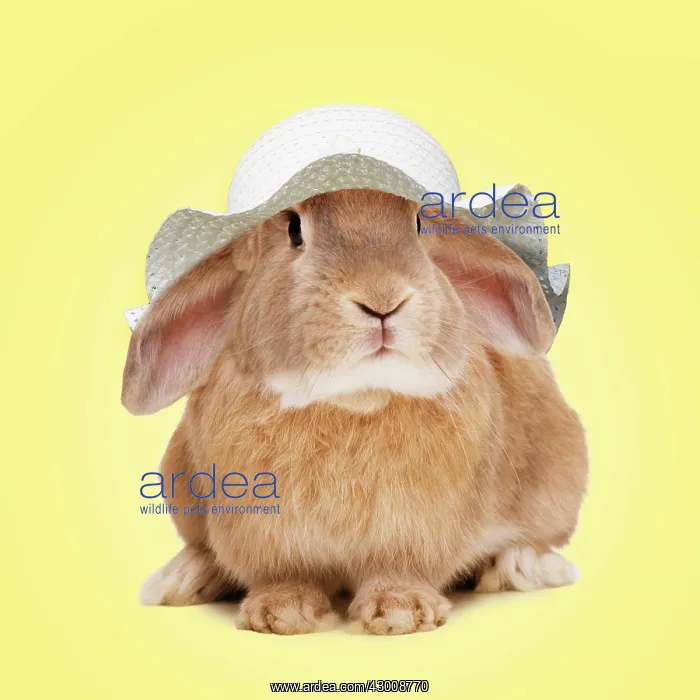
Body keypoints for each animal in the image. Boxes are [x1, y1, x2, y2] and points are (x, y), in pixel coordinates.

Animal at [122, 188, 587, 635]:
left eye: (419, 224)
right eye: (294, 230)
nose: (382, 299)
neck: (357, 399)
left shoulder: (414, 533)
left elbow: (399, 571)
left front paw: (400, 613)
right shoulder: (266, 535)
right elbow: (284, 576)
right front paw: (278, 613)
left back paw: (521, 566)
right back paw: (181, 579)